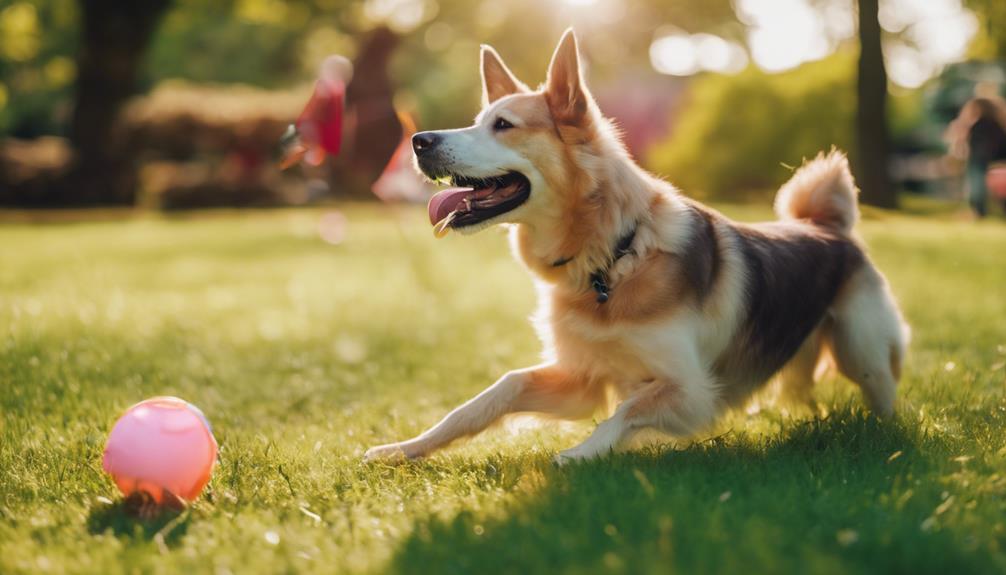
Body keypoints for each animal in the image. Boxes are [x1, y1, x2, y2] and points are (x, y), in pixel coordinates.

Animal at [364, 29, 913, 464]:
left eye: (503, 126)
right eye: (479, 121)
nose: (418, 141)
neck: (612, 257)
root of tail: (829, 226)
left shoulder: (691, 389)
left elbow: (626, 410)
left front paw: (579, 455)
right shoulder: (581, 379)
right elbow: (493, 394)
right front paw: (405, 449)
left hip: (861, 347)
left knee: (883, 397)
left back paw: (883, 438)